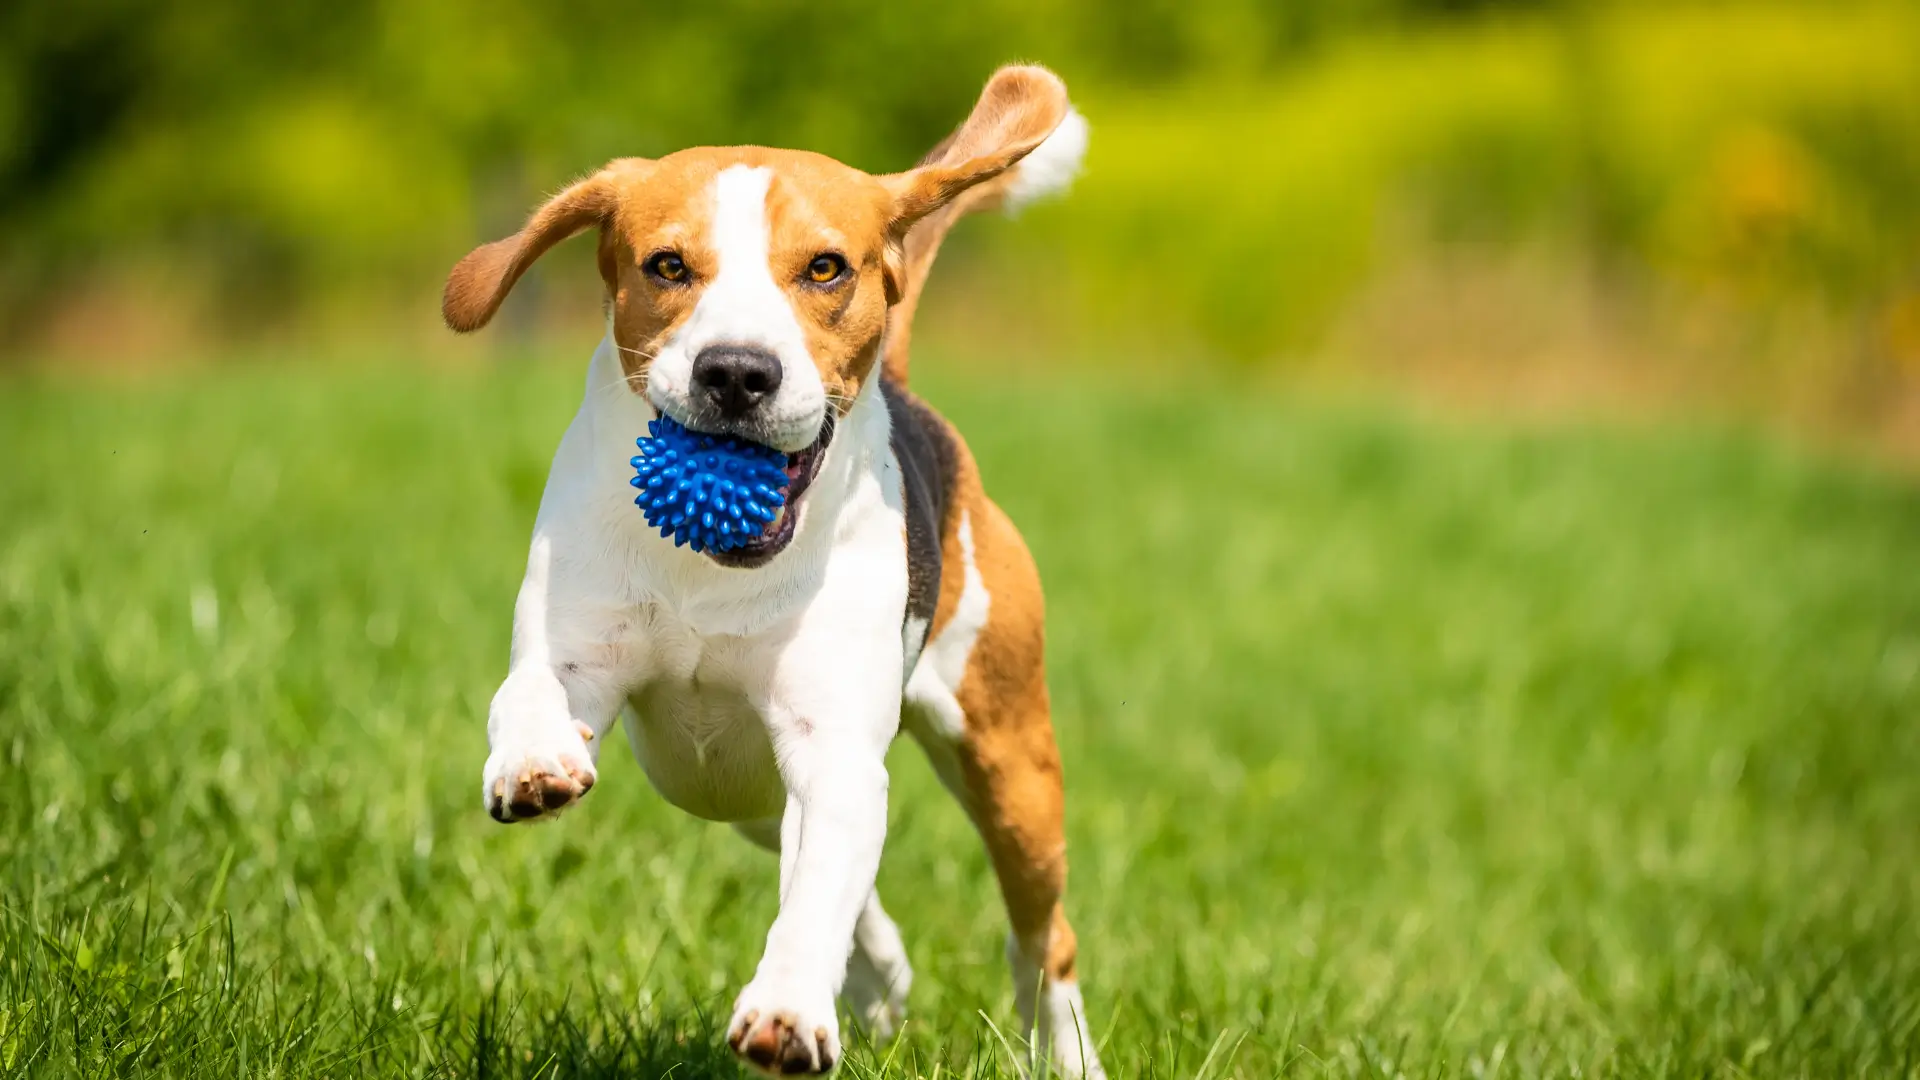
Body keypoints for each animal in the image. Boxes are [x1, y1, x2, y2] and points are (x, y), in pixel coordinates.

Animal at [437, 67, 1098, 1076]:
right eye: (668, 266)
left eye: (825, 268)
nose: (737, 372)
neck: (716, 572)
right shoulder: (580, 655)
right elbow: (532, 692)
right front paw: (533, 761)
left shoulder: (833, 747)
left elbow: (816, 897)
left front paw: (788, 1011)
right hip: (733, 788)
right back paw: (879, 977)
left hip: (1009, 762)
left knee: (1038, 937)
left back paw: (1062, 1052)